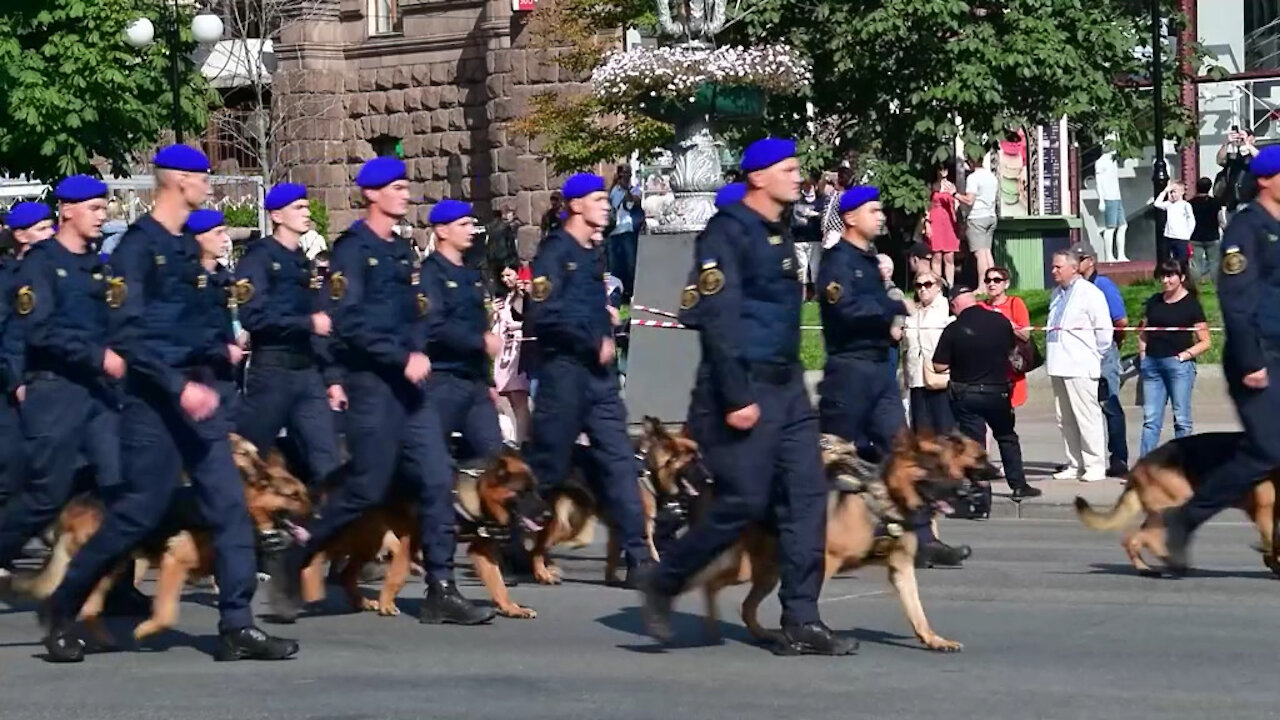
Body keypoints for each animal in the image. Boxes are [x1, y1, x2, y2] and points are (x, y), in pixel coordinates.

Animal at [17, 435, 314, 640]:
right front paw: (146, 629)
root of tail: (75, 503)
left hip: (113, 567)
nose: (317, 513)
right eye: (293, 496)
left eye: (303, 492)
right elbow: (167, 612)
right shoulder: (174, 562)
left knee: (89, 608)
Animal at [304, 445, 555, 614]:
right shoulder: (412, 537)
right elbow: (398, 572)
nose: (548, 515)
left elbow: (498, 583)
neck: (475, 495)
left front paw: (511, 608)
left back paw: (361, 601)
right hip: (357, 536)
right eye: (524, 492)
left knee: (347, 574)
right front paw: (387, 603)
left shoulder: (481, 550)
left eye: (535, 489)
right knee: (322, 549)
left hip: (368, 541)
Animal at [527, 417, 716, 586]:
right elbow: (651, 551)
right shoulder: (644, 526)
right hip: (563, 524)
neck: (650, 473)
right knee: (537, 550)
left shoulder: (618, 529)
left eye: (700, 459)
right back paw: (543, 574)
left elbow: (614, 554)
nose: (710, 479)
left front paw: (612, 578)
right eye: (692, 461)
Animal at [686, 427, 993, 653]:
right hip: (748, 568)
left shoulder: (902, 569)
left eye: (950, 468)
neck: (887, 497)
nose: (964, 492)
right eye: (932, 468)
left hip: (766, 572)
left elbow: (917, 611)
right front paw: (811, 633)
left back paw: (766, 636)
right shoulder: (826, 561)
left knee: (746, 606)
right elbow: (807, 598)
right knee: (710, 584)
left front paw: (935, 640)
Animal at [1075, 427, 1274, 573]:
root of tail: (1138, 467)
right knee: (1142, 538)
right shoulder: (1264, 510)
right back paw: (1166, 562)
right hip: (1177, 501)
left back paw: (1151, 565)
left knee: (1138, 538)